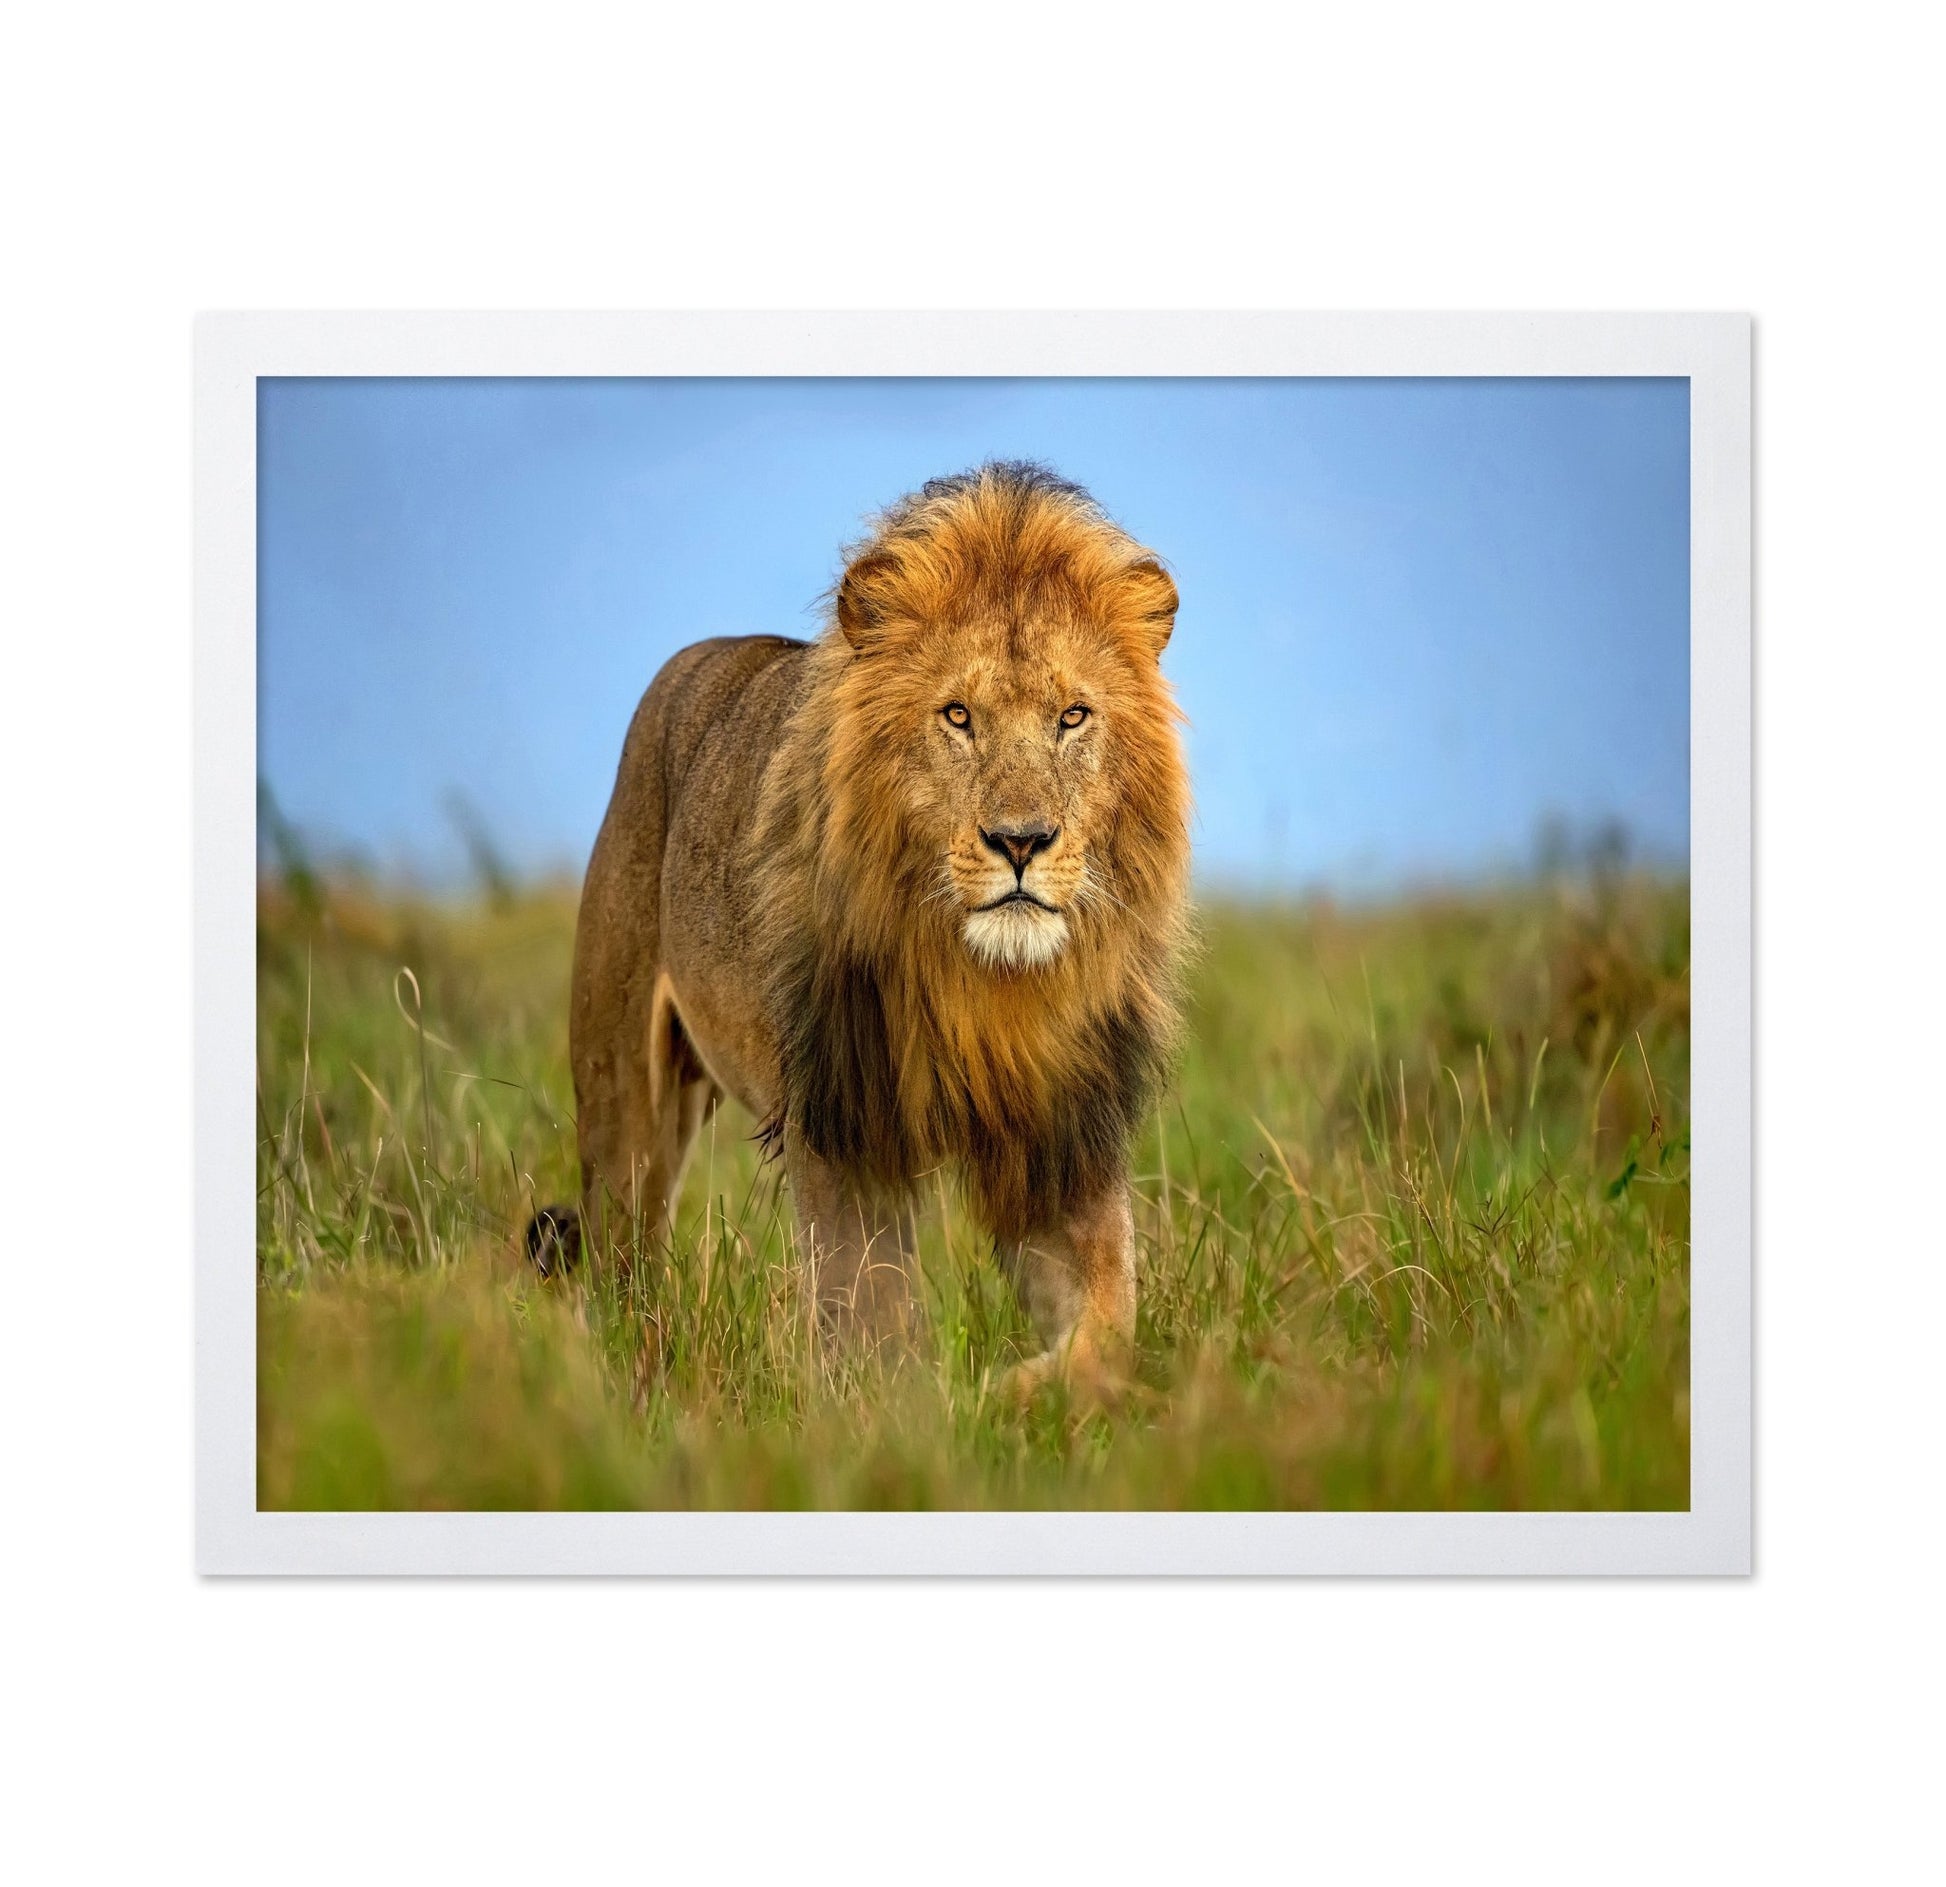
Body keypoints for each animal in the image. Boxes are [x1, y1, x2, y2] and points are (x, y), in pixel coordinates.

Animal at [527, 460, 1191, 1398]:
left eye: (1073, 716)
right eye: (957, 716)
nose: (1021, 840)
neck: (985, 984)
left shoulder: (1062, 1138)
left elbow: (1108, 1331)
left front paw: (1014, 1390)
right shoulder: (843, 1125)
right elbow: (871, 1320)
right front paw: (924, 1408)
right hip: (620, 1086)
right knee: (623, 1256)